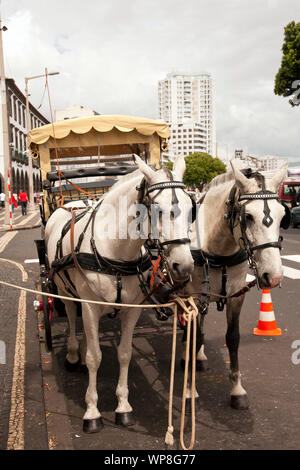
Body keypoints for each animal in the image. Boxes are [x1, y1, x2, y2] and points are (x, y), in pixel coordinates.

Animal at [45, 155, 195, 434]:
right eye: (156, 209)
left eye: (192, 210)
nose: (184, 266)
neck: (116, 250)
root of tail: (69, 203)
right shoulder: (89, 305)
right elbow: (95, 357)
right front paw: (92, 411)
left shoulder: (132, 309)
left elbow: (124, 354)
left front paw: (123, 407)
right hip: (63, 288)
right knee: (71, 316)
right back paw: (73, 353)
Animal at [182, 162, 290, 412]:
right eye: (248, 216)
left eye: (282, 216)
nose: (274, 277)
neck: (218, 247)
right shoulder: (195, 294)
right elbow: (195, 335)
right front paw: (191, 390)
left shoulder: (235, 295)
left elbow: (232, 338)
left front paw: (237, 390)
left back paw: (198, 357)